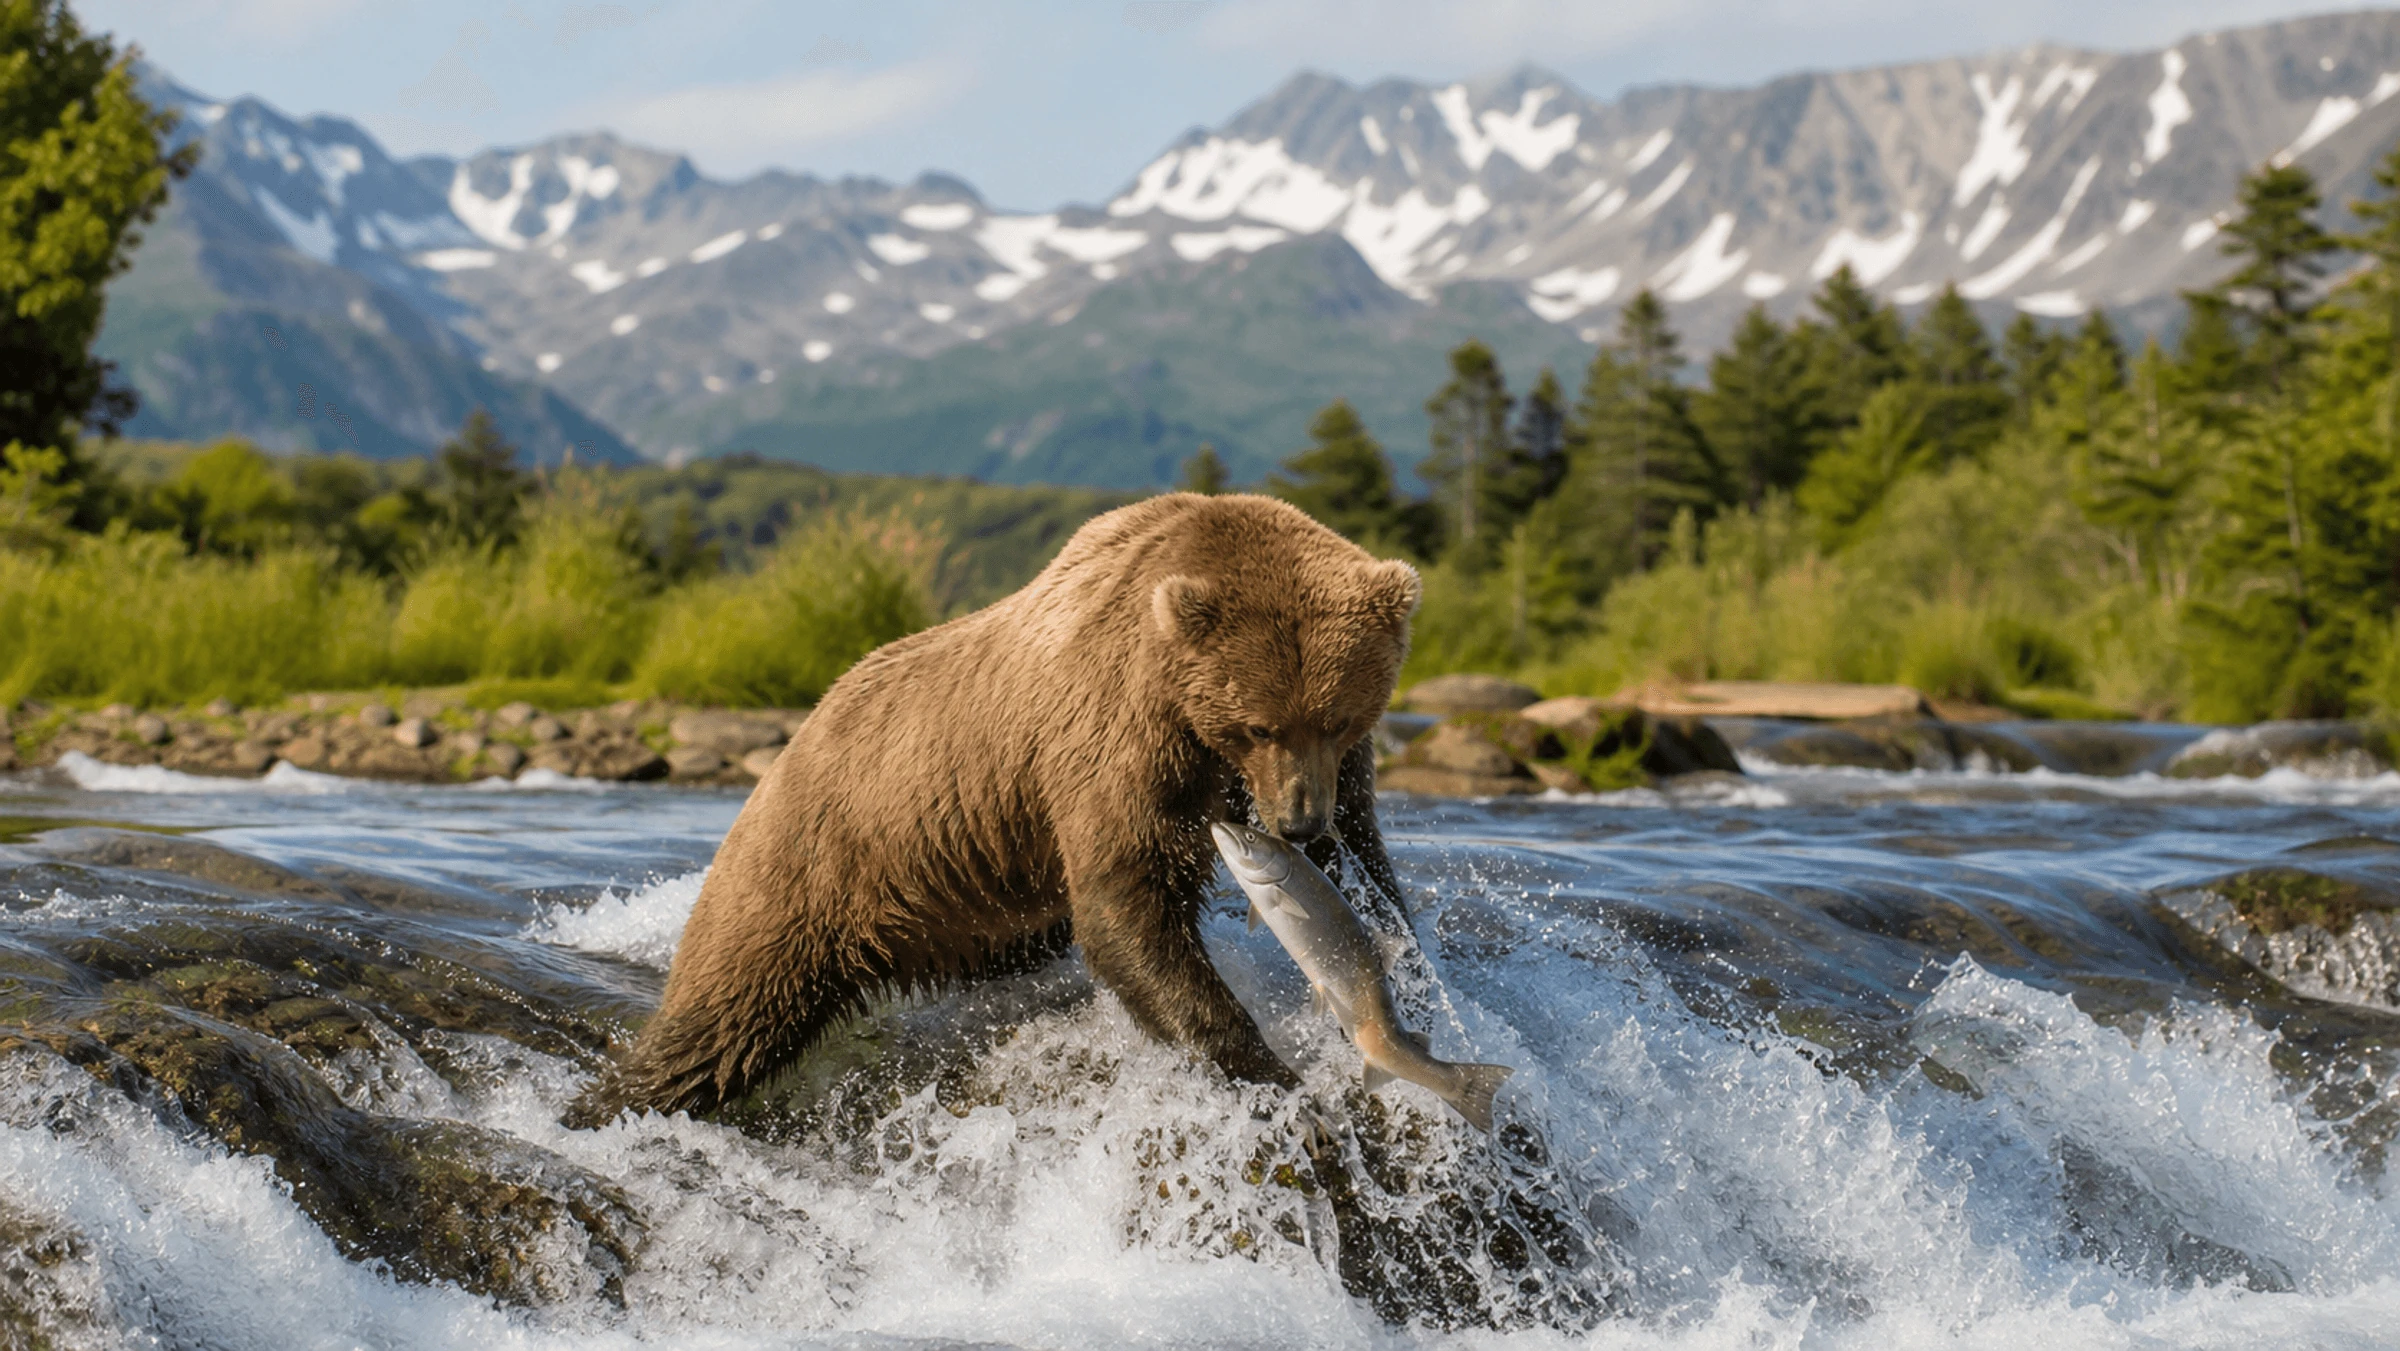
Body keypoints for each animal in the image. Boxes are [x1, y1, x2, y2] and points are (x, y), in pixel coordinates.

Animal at [568, 492, 1422, 1123]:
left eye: (1339, 717)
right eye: (1258, 723)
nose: (1296, 822)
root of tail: (788, 745)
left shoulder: (1331, 774)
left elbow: (1366, 863)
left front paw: (1400, 971)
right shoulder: (1114, 735)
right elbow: (1127, 897)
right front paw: (1269, 1071)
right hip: (811, 863)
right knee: (723, 1017)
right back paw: (606, 1101)